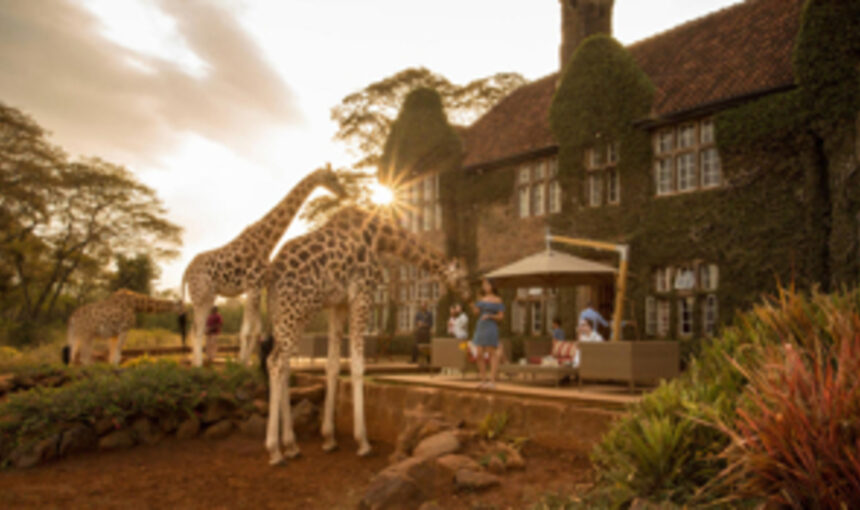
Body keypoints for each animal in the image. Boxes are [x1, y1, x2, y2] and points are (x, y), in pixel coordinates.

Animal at [181, 167, 346, 367]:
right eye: (332, 177)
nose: (344, 193)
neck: (266, 243)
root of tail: (186, 270)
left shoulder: (256, 287)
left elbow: (255, 330)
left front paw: (247, 363)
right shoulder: (252, 286)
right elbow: (246, 331)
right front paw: (241, 364)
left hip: (209, 295)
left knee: (197, 327)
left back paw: (196, 362)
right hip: (201, 294)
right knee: (196, 328)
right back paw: (197, 365)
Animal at [264, 205, 470, 465]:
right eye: (463, 276)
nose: (469, 296)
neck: (380, 237)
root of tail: (271, 276)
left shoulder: (338, 304)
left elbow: (333, 365)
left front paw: (329, 438)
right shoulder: (363, 293)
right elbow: (357, 365)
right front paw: (363, 442)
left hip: (284, 313)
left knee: (284, 364)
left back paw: (291, 446)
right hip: (297, 309)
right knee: (276, 362)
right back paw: (275, 450)